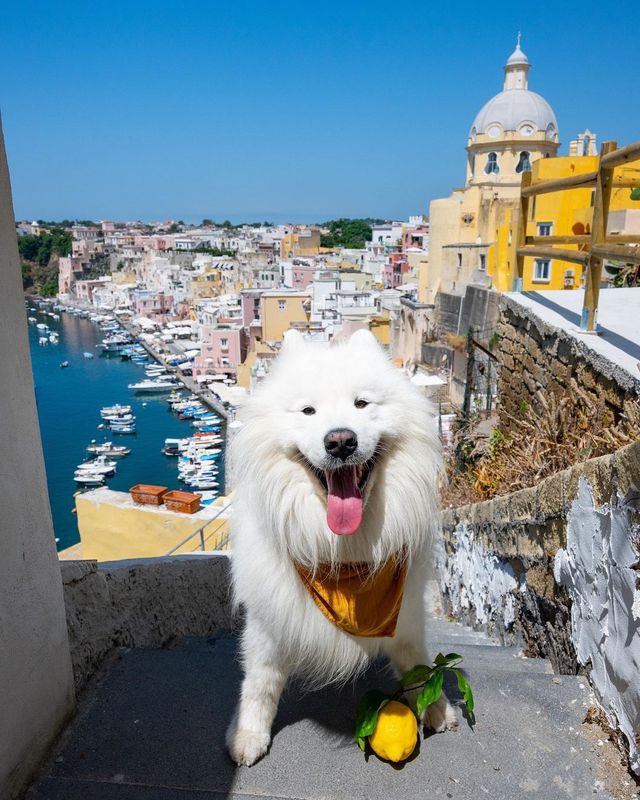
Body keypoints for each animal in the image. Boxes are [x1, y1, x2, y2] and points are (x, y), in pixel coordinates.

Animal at [225, 328, 456, 764]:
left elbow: (418, 665)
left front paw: (435, 707)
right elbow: (260, 681)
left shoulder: (407, 615)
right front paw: (248, 734)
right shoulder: (268, 620)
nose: (340, 441)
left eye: (361, 404)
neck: (342, 553)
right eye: (308, 411)